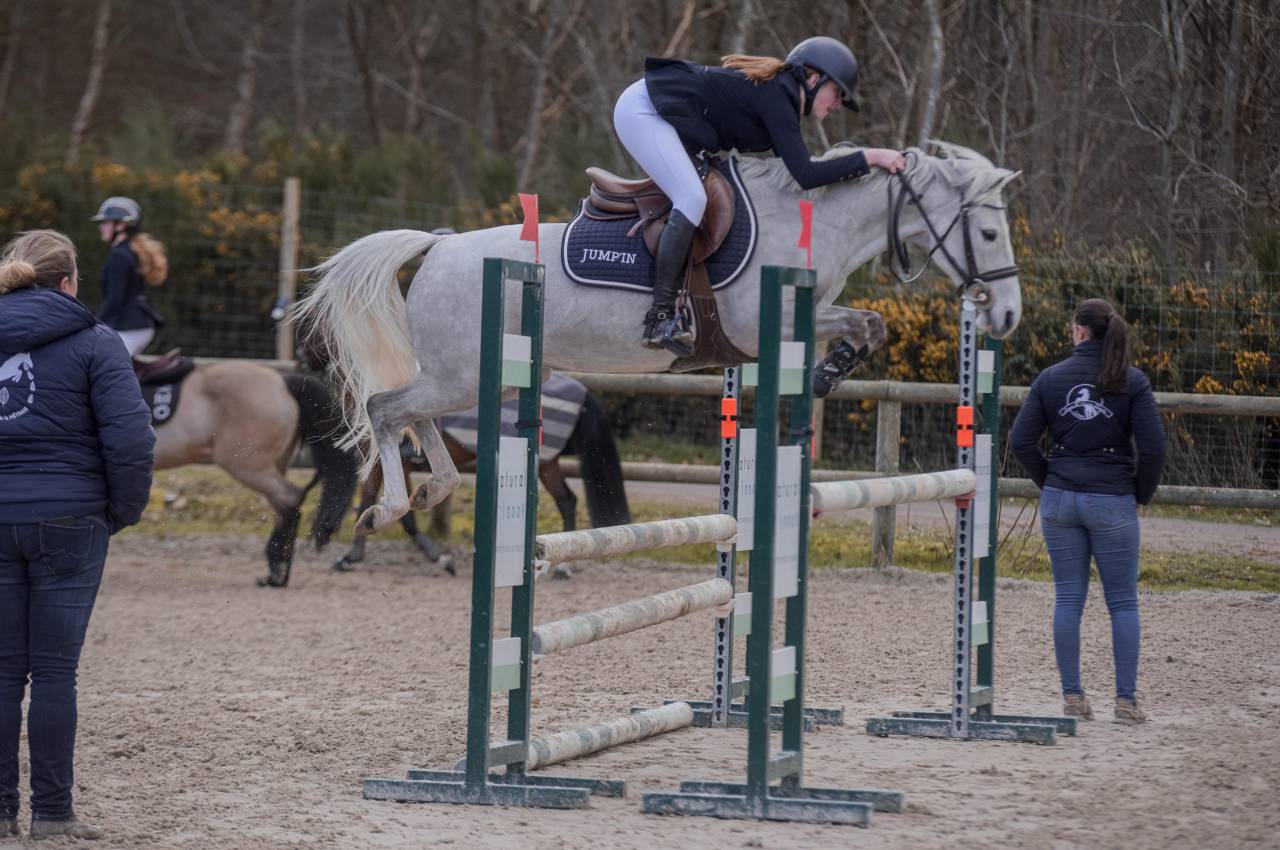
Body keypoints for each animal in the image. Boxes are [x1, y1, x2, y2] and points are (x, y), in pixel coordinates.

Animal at [149, 361, 359, 586]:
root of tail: (282, 380)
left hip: (246, 465)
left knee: (289, 497)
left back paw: (278, 569)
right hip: (272, 464)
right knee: (283, 502)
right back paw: (279, 568)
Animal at [295, 141, 1023, 534]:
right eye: (989, 232)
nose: (1009, 316)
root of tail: (440, 245)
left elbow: (869, 323)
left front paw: (828, 372)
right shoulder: (762, 323)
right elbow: (863, 322)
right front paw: (826, 372)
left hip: (473, 376)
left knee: (410, 415)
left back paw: (428, 491)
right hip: (462, 374)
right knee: (386, 409)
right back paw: (388, 508)